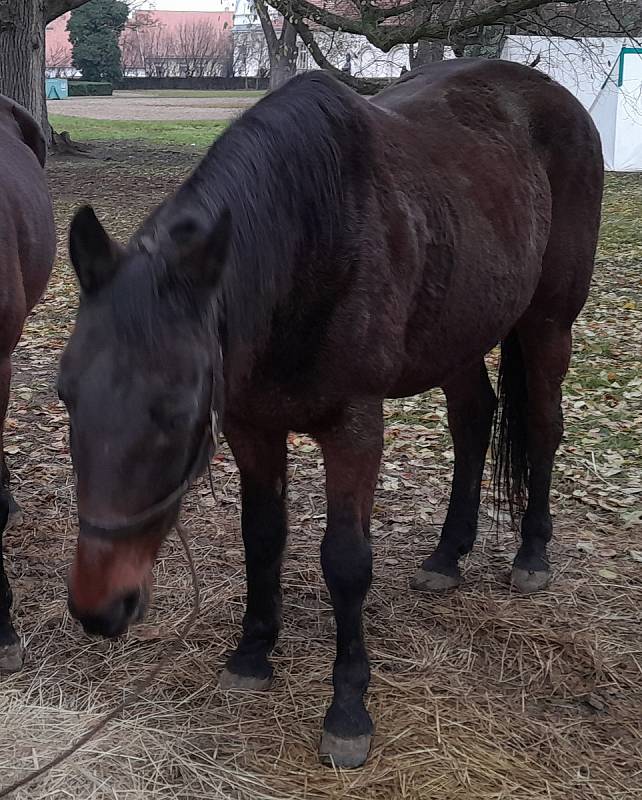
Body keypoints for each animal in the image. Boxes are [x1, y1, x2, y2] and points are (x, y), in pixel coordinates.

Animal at [58, 61, 600, 764]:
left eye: (176, 410)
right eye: (67, 395)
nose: (99, 606)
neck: (311, 244)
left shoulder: (354, 430)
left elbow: (346, 561)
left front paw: (347, 710)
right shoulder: (253, 428)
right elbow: (262, 537)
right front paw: (252, 654)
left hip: (547, 323)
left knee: (541, 424)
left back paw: (533, 553)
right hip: (460, 330)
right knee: (473, 420)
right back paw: (447, 555)